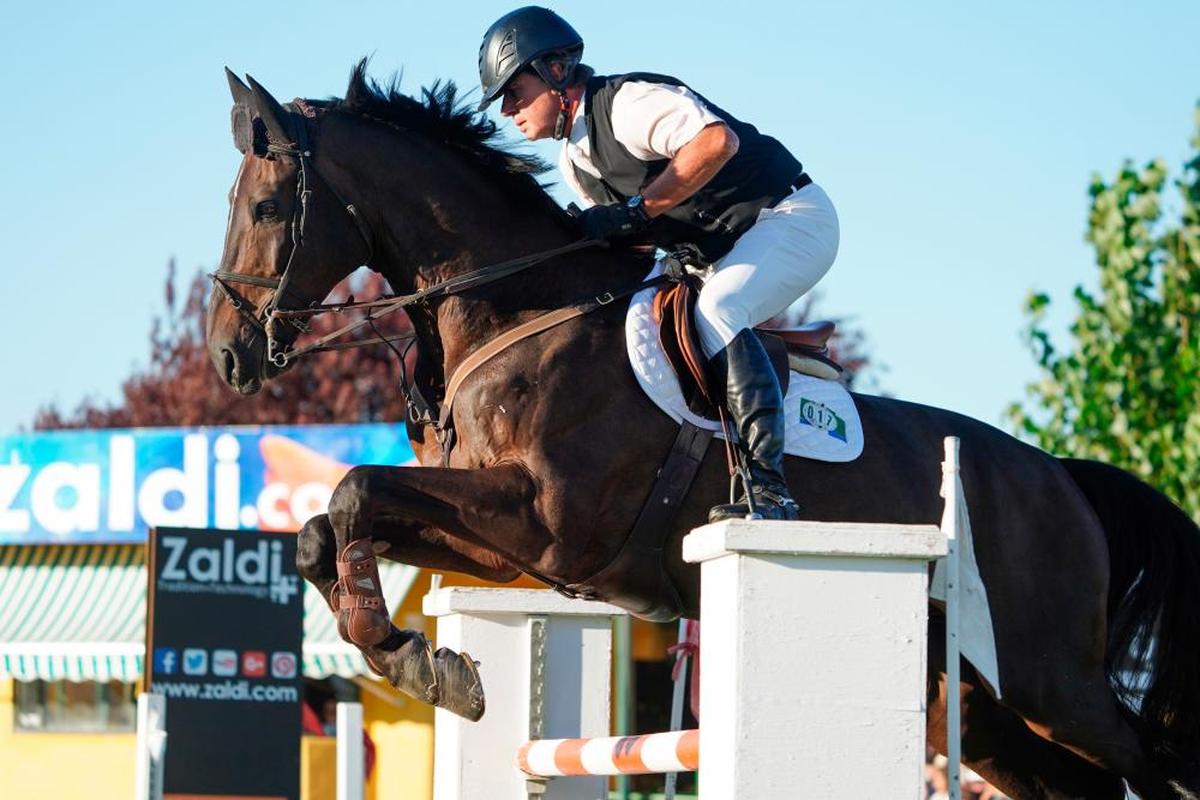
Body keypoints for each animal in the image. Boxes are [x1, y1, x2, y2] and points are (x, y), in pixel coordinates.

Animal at [206, 64, 1200, 800]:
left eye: (265, 209)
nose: (227, 356)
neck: (515, 310)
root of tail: (1061, 478)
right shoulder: (508, 545)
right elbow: (326, 526)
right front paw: (426, 660)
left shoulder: (545, 521)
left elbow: (353, 489)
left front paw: (411, 657)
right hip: (973, 700)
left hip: (1050, 677)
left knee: (1148, 759)